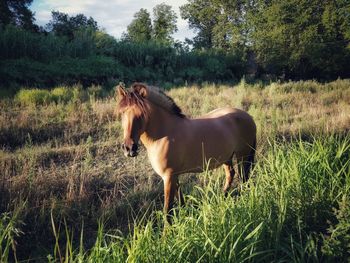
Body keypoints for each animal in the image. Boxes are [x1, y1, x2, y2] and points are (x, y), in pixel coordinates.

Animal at [116, 83, 256, 221]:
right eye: (122, 113)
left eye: (142, 114)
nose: (129, 148)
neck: (165, 134)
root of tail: (248, 116)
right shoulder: (174, 176)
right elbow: (180, 200)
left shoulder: (168, 177)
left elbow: (167, 210)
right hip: (227, 157)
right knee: (230, 174)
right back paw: (222, 197)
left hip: (242, 155)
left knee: (243, 178)